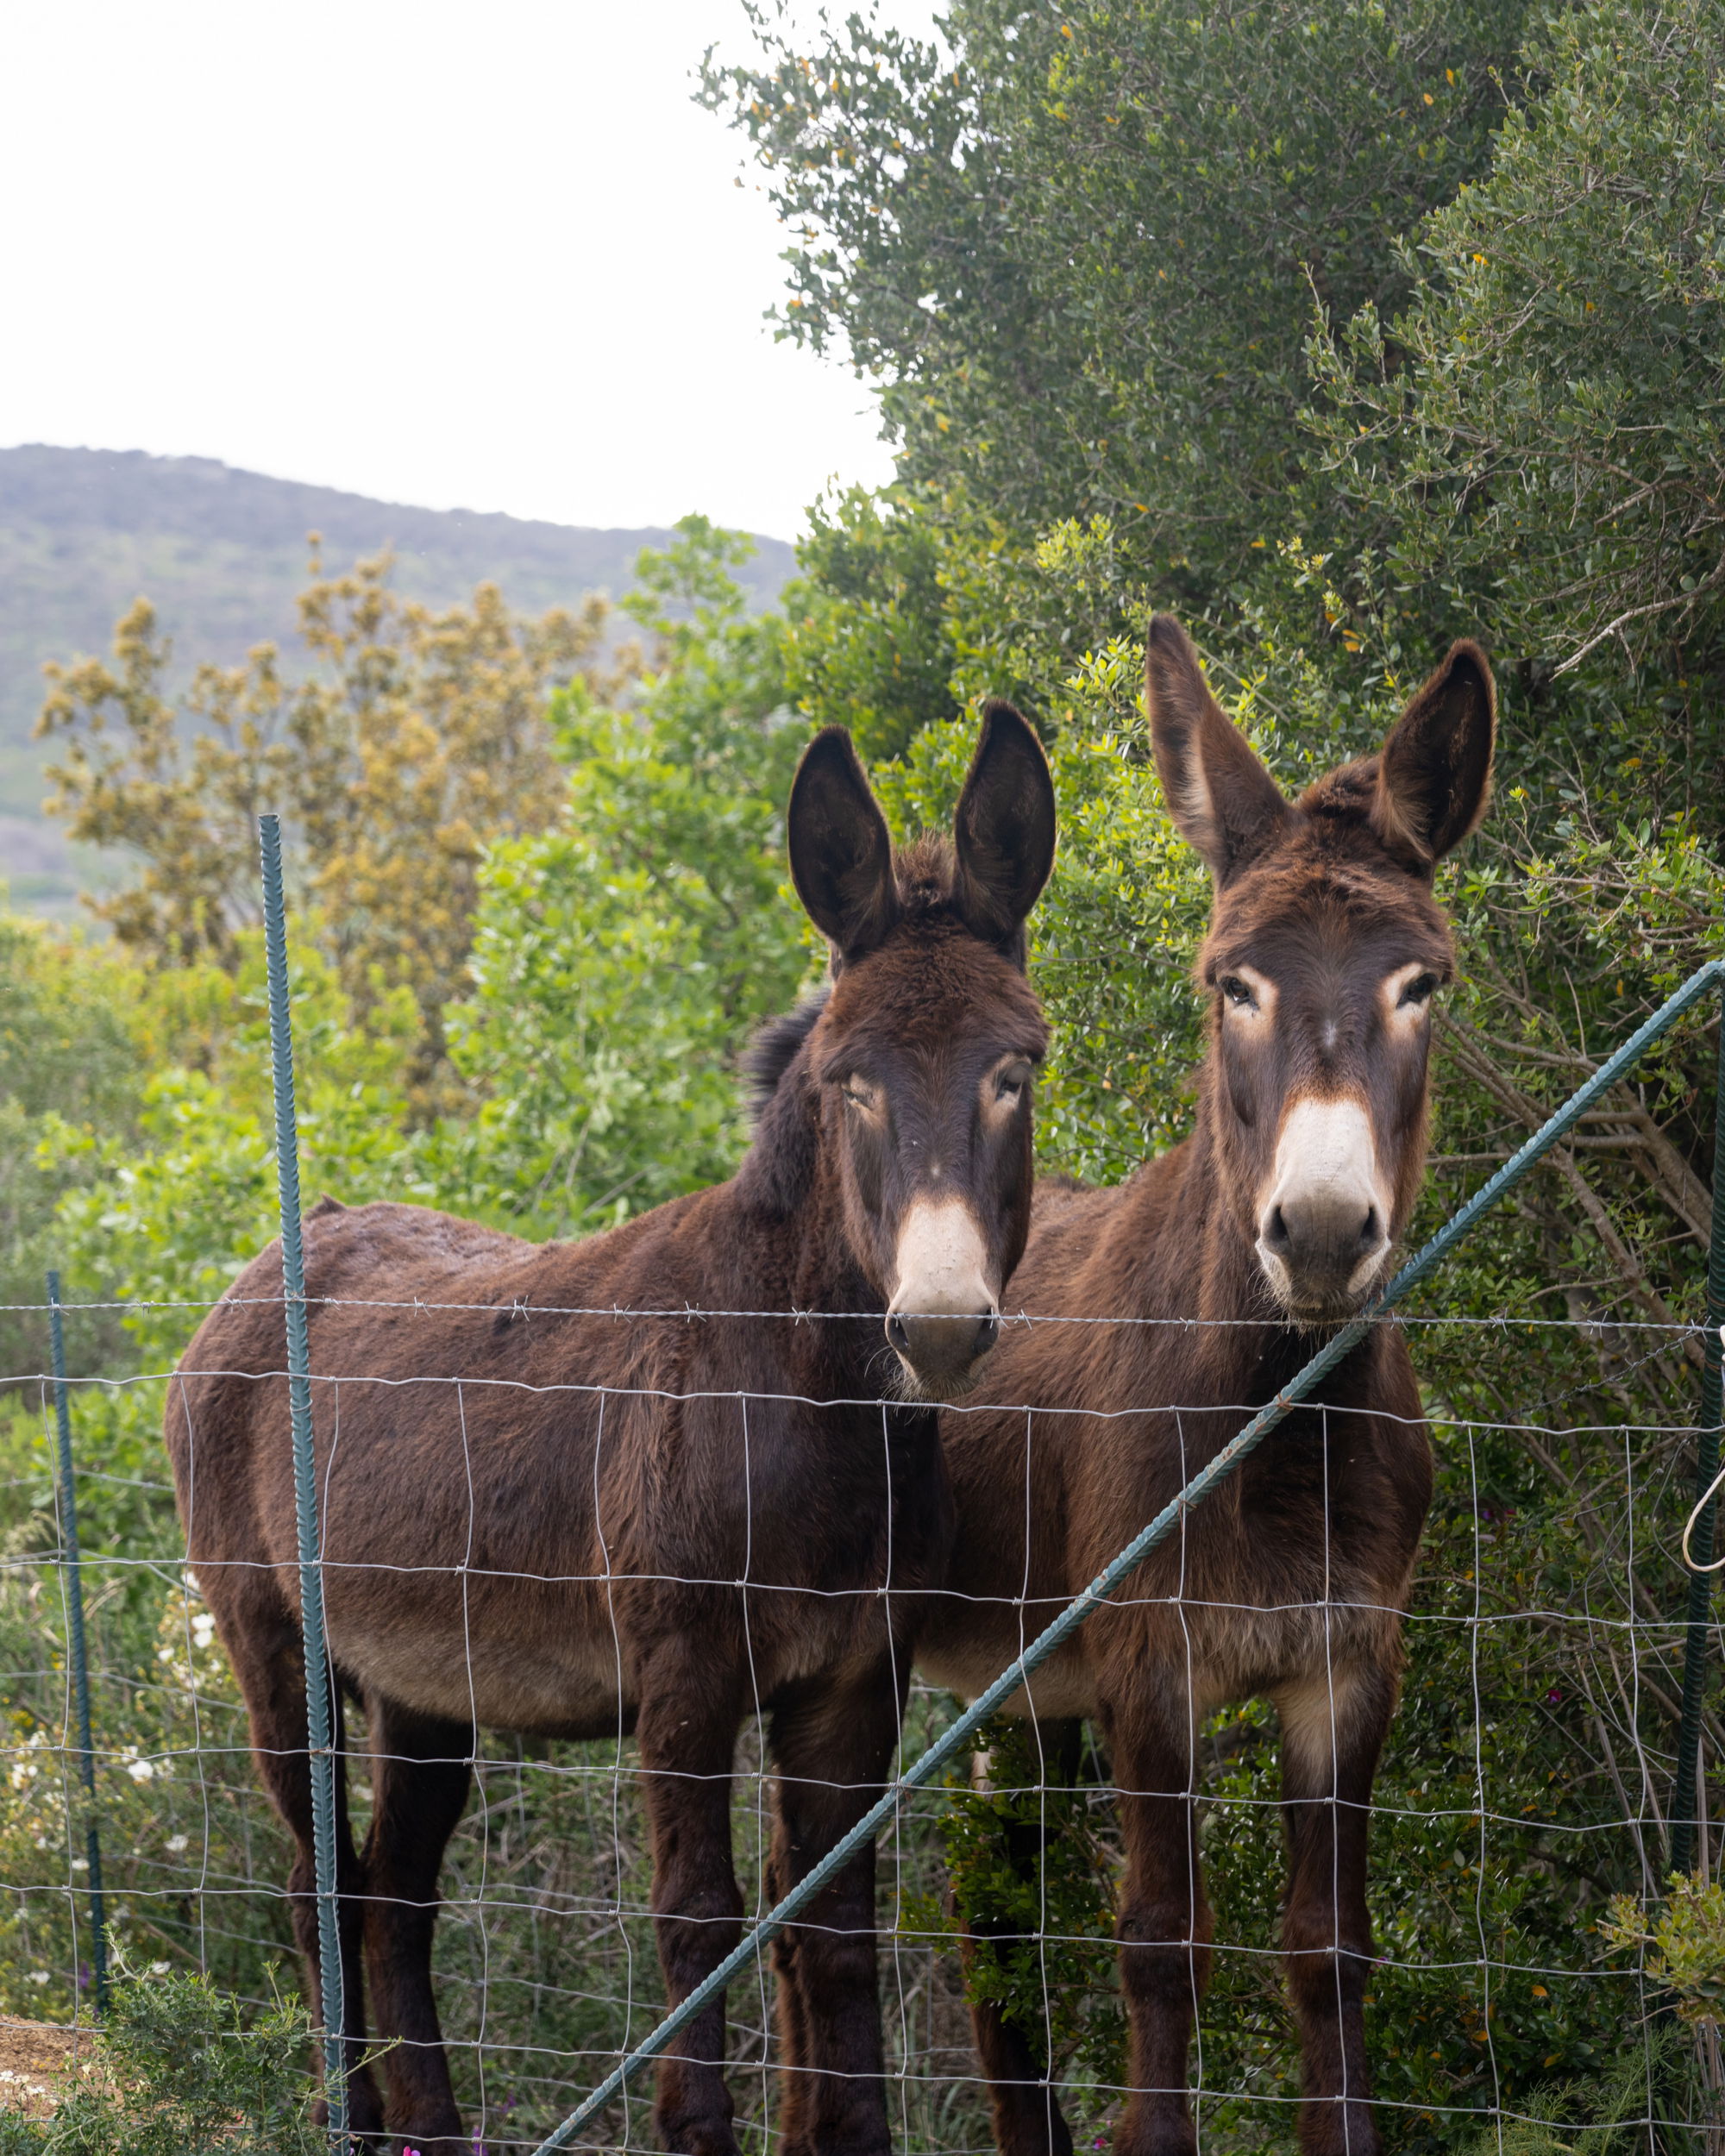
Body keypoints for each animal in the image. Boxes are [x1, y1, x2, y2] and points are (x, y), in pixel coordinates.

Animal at [165, 706, 1057, 2156]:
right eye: (852, 1085)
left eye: (1014, 1073)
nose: (938, 1327)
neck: (810, 1394)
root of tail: (286, 1246)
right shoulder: (685, 1672)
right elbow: (697, 1924)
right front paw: (693, 2129)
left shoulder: (852, 1678)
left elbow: (832, 1937)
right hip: (272, 1642)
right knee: (316, 1890)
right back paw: (351, 2122)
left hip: (425, 1682)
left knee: (392, 1897)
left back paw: (431, 2135)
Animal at [917, 617, 1496, 2156]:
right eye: (1229, 983)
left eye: (1423, 984)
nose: (1322, 1231)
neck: (1276, 1424)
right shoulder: (1148, 1669)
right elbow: (1164, 1947)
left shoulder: (1348, 1667)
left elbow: (1329, 1952)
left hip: (1018, 1686)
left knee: (1000, 1927)